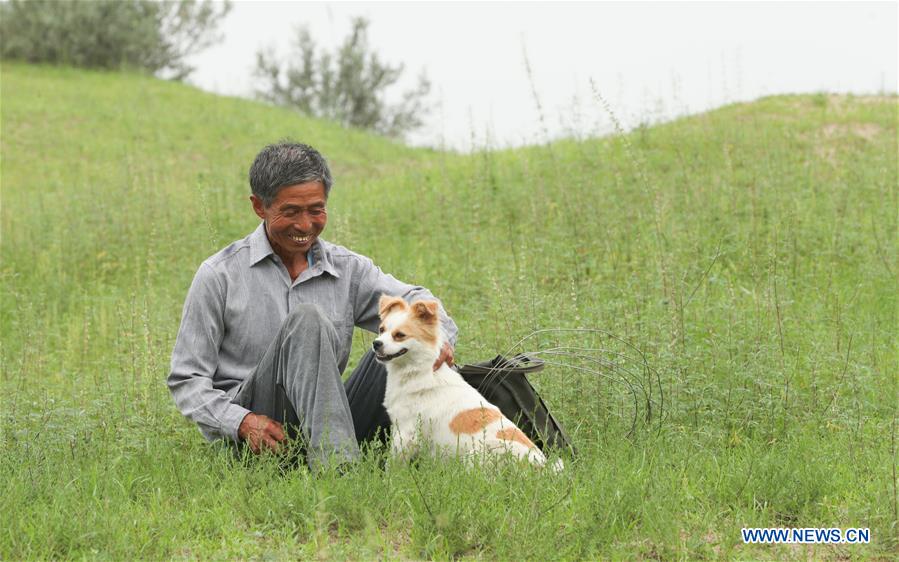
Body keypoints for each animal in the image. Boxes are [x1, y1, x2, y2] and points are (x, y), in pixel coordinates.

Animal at [370, 294, 560, 468]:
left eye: (399, 335)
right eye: (381, 329)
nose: (376, 343)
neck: (417, 371)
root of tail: (541, 467)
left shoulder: (406, 433)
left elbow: (392, 467)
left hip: (474, 457)